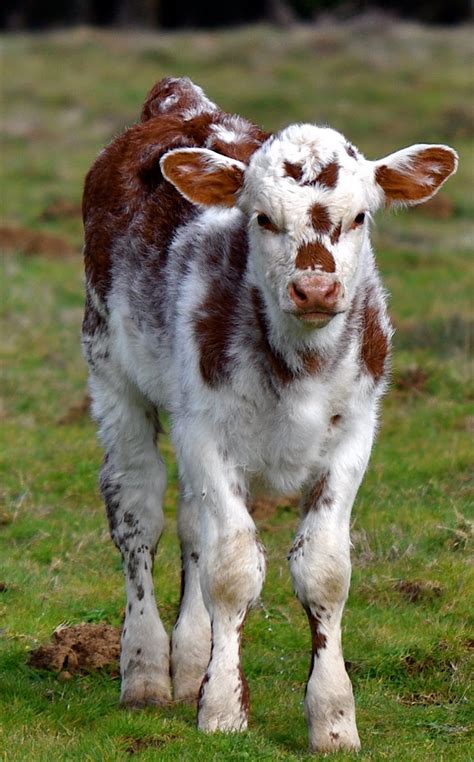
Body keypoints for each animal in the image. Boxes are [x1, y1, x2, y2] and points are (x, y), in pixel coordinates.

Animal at [81, 77, 456, 748]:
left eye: (360, 216)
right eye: (261, 217)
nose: (316, 289)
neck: (300, 366)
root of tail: (183, 102)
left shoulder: (355, 433)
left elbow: (323, 569)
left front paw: (333, 719)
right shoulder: (204, 430)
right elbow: (232, 570)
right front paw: (223, 709)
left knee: (192, 524)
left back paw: (189, 661)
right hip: (110, 370)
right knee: (137, 511)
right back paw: (146, 671)